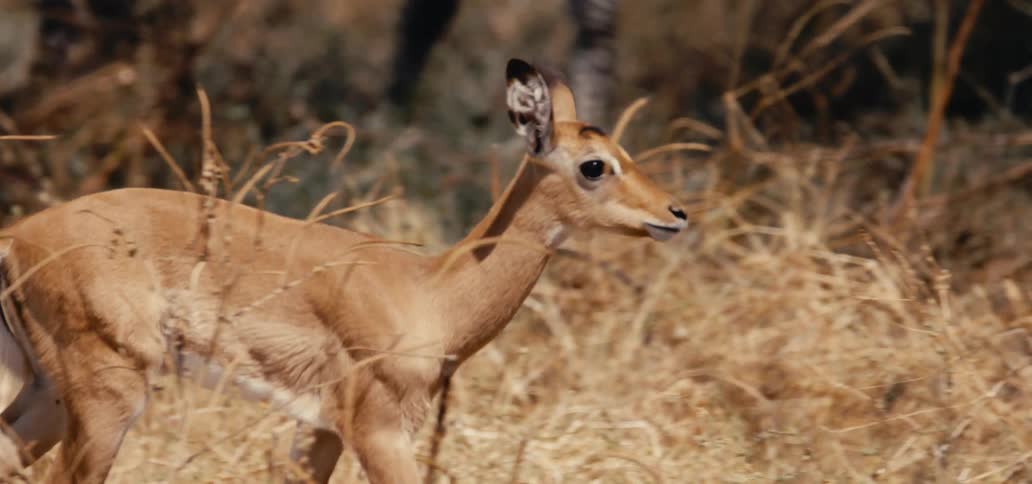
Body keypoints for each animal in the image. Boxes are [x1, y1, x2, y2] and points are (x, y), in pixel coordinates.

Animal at [0, 58, 688, 483]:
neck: (432, 291)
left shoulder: (321, 430)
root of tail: (17, 237)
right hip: (106, 394)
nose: (676, 214)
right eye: (595, 165)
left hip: (49, 392)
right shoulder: (378, 429)